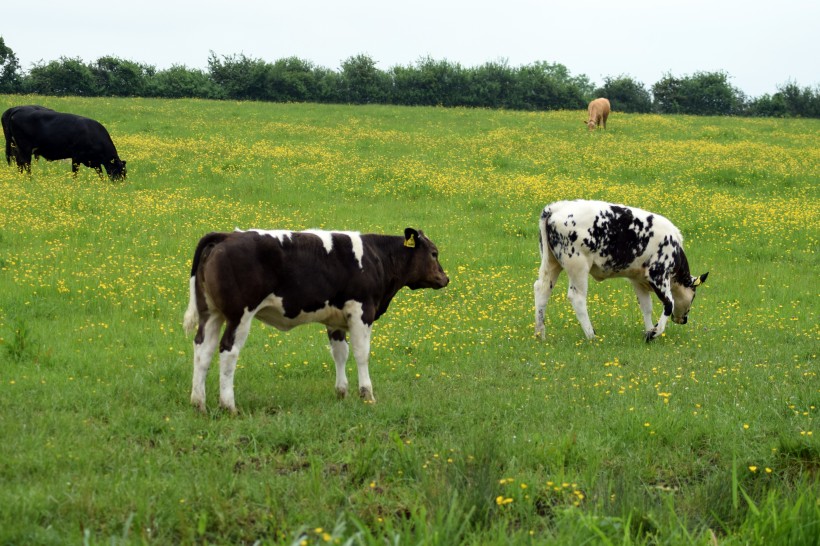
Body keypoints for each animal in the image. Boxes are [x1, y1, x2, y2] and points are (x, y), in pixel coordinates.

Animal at [183, 223, 448, 410]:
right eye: (434, 253)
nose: (445, 278)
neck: (376, 258)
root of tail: (227, 235)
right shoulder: (361, 311)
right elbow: (361, 354)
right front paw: (367, 394)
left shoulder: (336, 319)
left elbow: (340, 354)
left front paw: (341, 392)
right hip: (239, 315)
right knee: (228, 351)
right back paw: (229, 405)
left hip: (211, 313)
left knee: (203, 350)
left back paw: (199, 403)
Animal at [536, 200, 708, 342]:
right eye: (693, 295)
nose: (684, 320)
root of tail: (556, 208)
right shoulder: (658, 274)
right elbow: (669, 303)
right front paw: (654, 333)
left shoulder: (638, 279)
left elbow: (646, 307)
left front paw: (648, 331)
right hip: (578, 265)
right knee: (577, 297)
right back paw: (591, 336)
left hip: (551, 262)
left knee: (542, 290)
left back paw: (540, 335)